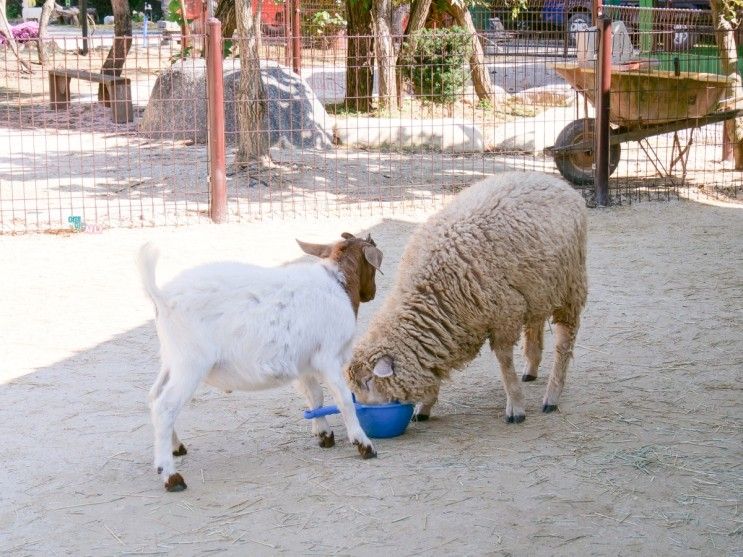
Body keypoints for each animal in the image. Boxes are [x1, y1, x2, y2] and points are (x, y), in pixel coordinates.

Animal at [138, 231, 384, 490]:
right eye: (371, 267)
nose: (372, 294)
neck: (338, 284)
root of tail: (161, 297)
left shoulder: (304, 363)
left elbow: (315, 397)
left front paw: (324, 434)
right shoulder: (328, 357)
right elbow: (343, 399)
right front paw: (364, 445)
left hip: (172, 359)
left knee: (154, 396)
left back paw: (176, 446)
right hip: (190, 363)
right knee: (165, 406)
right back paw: (170, 476)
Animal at [346, 172, 588, 424]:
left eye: (368, 381)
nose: (361, 412)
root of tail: (555, 182)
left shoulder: (505, 314)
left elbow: (505, 363)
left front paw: (516, 406)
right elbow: (436, 366)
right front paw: (425, 406)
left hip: (570, 284)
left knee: (565, 341)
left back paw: (552, 396)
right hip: (537, 286)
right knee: (536, 322)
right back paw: (531, 367)